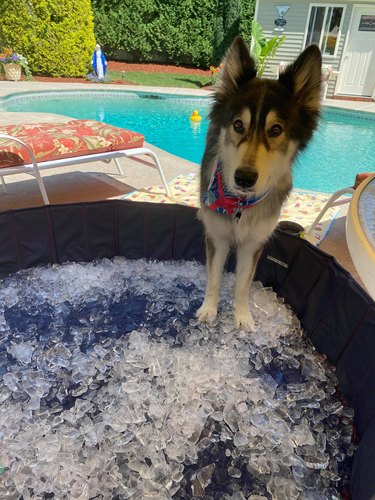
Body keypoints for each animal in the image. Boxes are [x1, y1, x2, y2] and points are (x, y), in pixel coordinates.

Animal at [197, 37, 324, 330]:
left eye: (276, 130)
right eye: (238, 125)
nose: (243, 178)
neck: (238, 204)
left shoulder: (254, 242)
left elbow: (243, 284)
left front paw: (242, 317)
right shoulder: (217, 234)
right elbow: (214, 277)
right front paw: (209, 310)